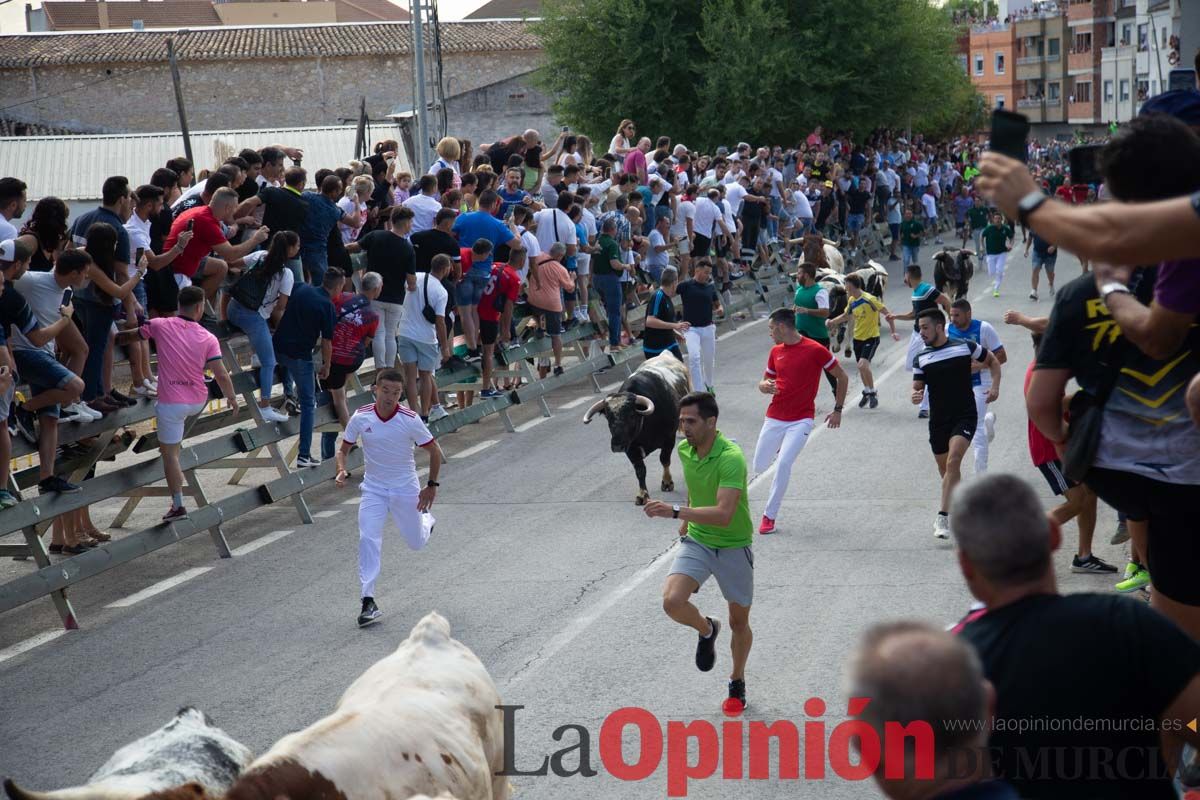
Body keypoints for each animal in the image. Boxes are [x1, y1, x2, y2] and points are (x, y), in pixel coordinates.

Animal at [583, 352, 691, 503]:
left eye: (631, 416)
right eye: (608, 417)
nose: (617, 445)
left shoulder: (669, 439)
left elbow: (664, 459)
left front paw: (667, 483)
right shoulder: (630, 448)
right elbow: (640, 470)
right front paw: (642, 494)